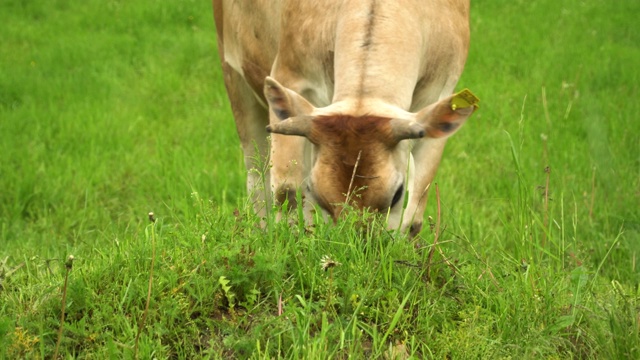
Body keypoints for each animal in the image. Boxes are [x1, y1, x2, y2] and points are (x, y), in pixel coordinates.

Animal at [212, 0, 478, 238]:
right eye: (316, 191)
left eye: (397, 194)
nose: (357, 243)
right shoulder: (290, 77)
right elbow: (287, 192)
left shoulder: (440, 93)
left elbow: (414, 215)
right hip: (233, 74)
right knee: (257, 174)